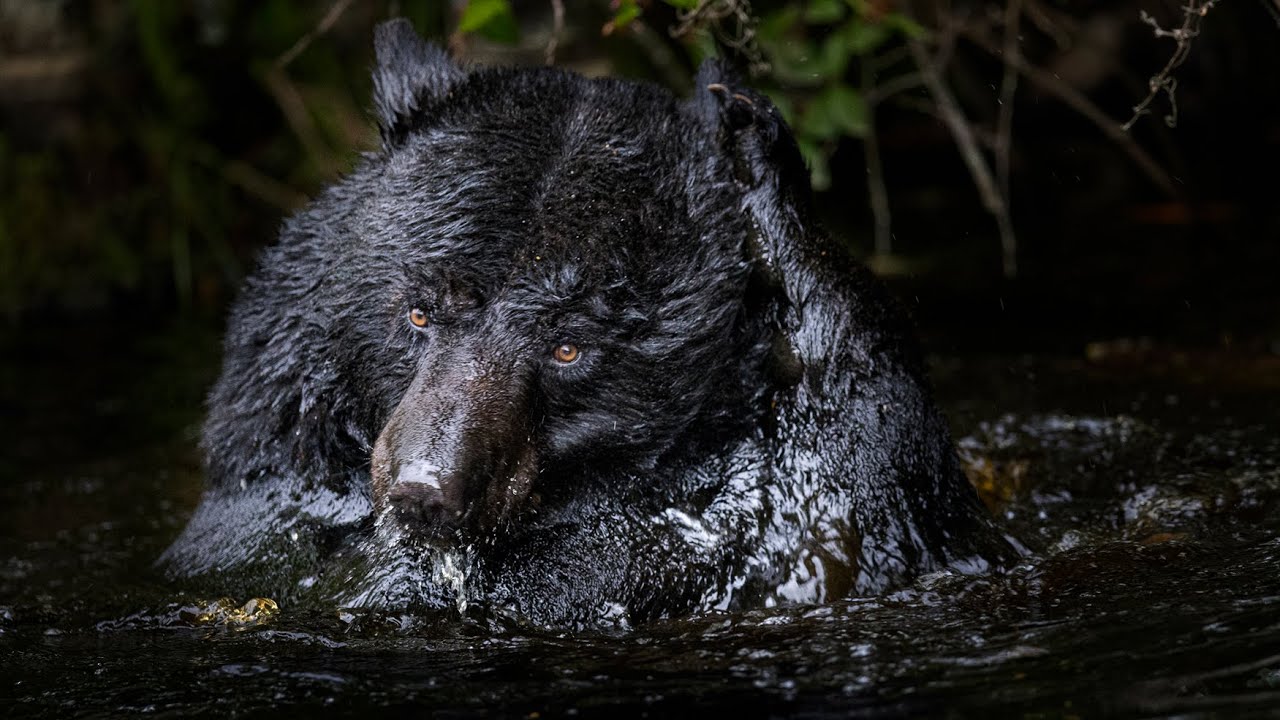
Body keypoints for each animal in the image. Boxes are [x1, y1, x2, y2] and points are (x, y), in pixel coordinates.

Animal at [159, 19, 1013, 627]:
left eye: (570, 348)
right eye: (417, 311)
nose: (426, 491)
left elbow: (848, 496)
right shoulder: (275, 449)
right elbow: (260, 545)